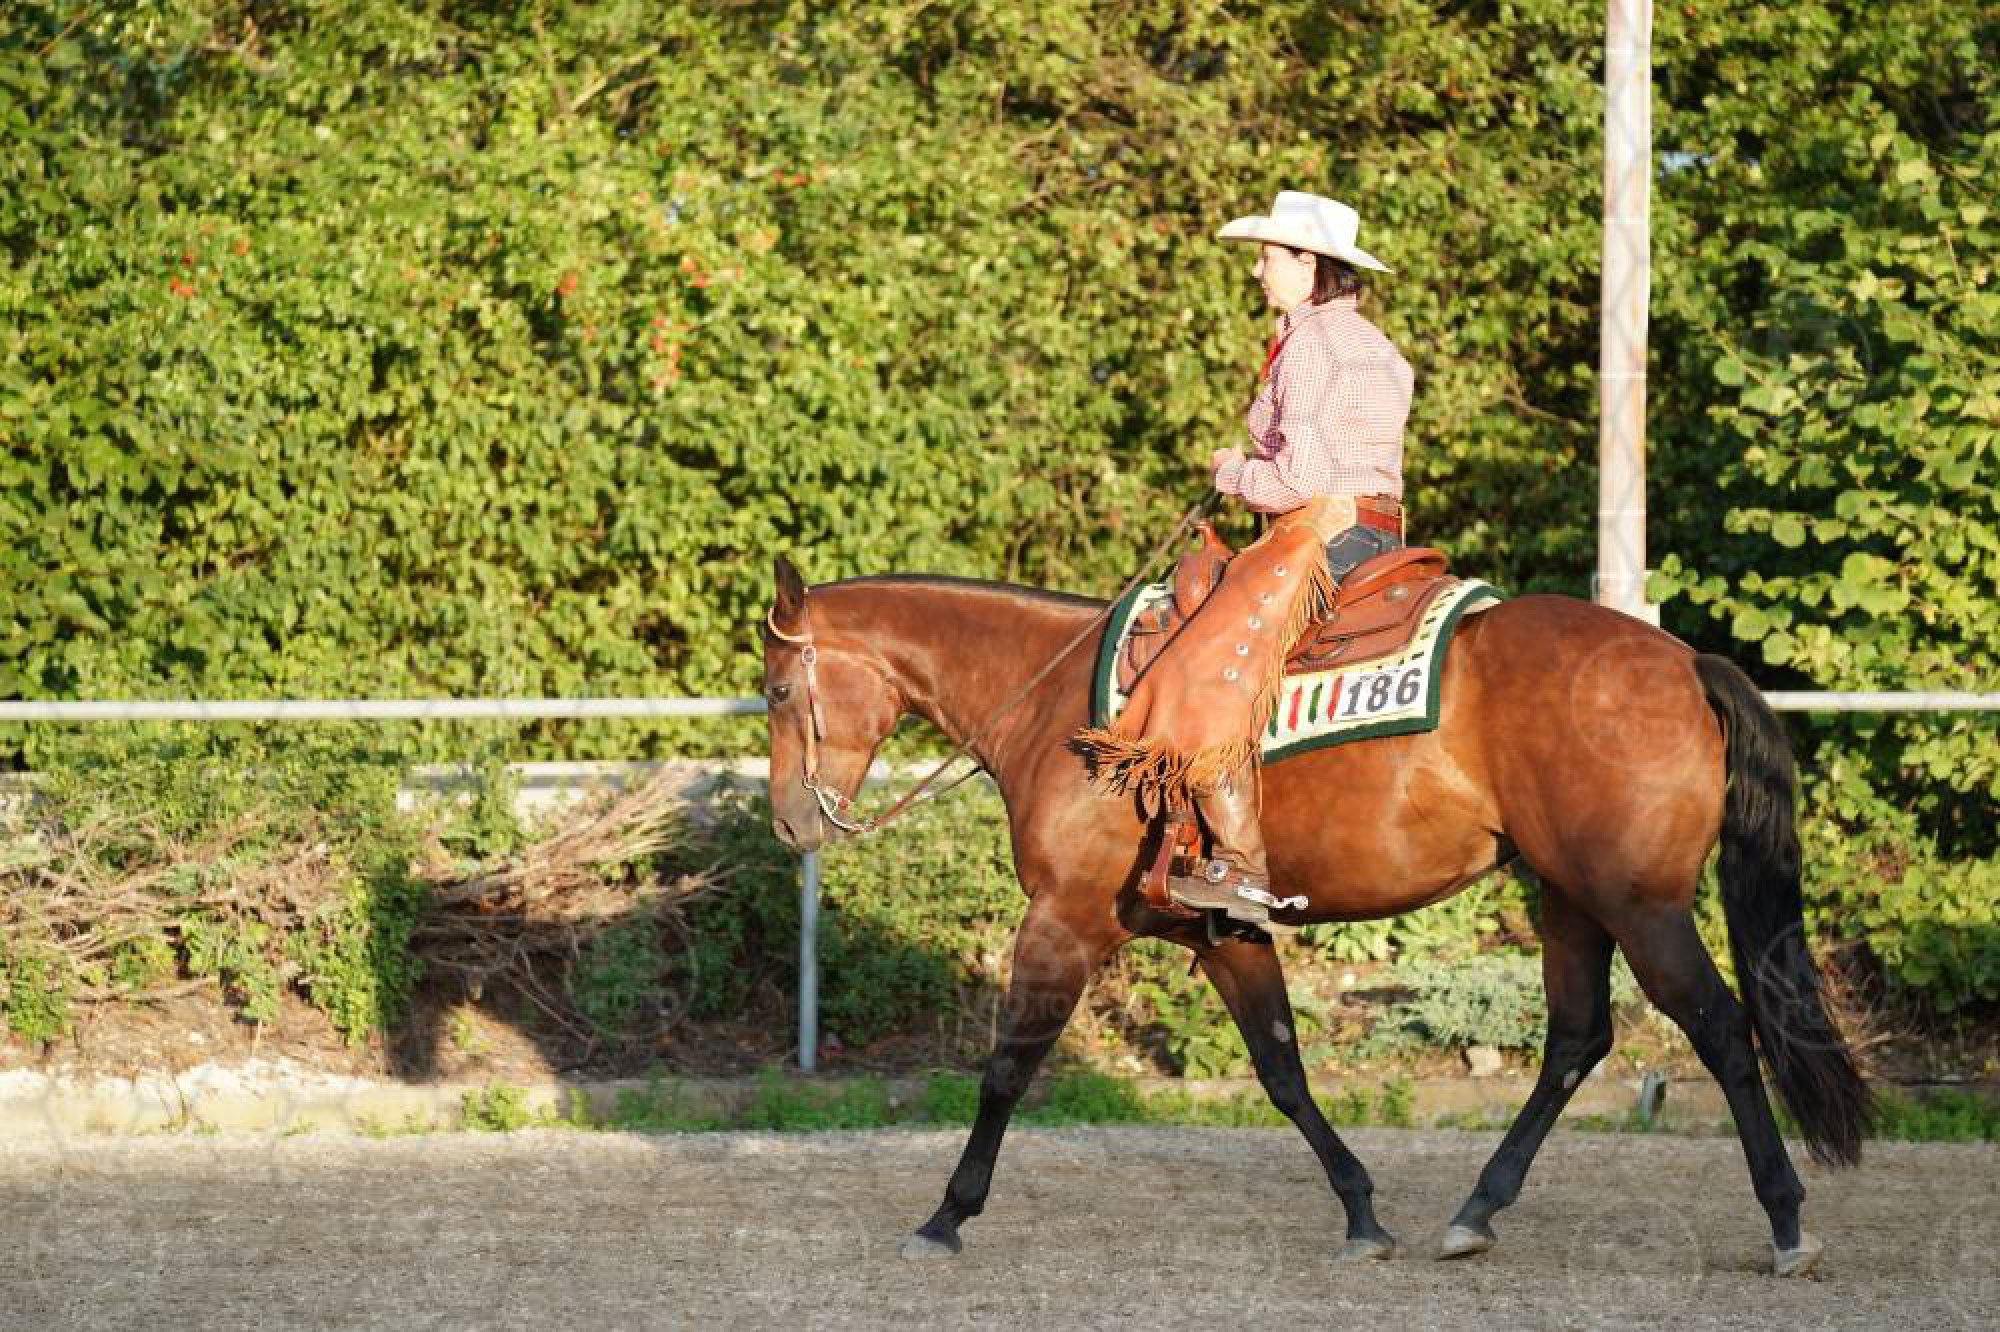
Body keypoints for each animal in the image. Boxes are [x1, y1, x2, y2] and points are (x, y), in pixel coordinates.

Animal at [759, 554, 1869, 1277]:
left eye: (774, 691)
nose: (786, 822)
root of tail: (1683, 663)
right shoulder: (1222, 931)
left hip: (1641, 906)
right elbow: (1283, 1070)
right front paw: (1362, 1213)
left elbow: (1004, 1070)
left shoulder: (1064, 919)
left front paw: (946, 1215)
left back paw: (1786, 1224)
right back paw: (1475, 1210)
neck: (1060, 709)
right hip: (1571, 898)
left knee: (1719, 1030)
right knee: (1574, 1039)